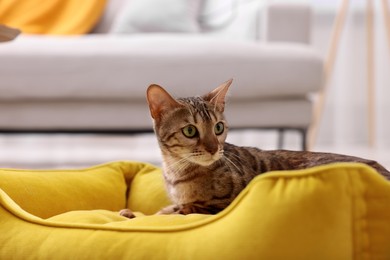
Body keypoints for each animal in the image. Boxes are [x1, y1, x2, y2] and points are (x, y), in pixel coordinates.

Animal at [120, 78, 388, 217]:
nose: (213, 148)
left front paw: (135, 215)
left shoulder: (213, 207)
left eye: (218, 128)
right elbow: (166, 209)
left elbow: (171, 212)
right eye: (190, 131)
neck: (177, 171)